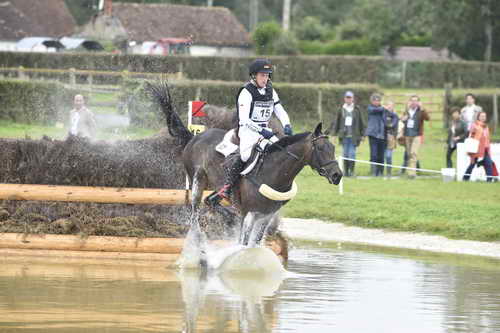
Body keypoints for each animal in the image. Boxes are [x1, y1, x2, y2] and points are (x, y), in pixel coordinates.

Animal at [146, 80, 342, 249]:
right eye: (320, 148)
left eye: (333, 148)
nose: (337, 175)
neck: (275, 172)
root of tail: (195, 136)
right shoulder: (250, 214)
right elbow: (244, 244)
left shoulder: (265, 216)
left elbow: (255, 244)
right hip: (198, 181)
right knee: (195, 211)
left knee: (211, 201)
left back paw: (227, 214)